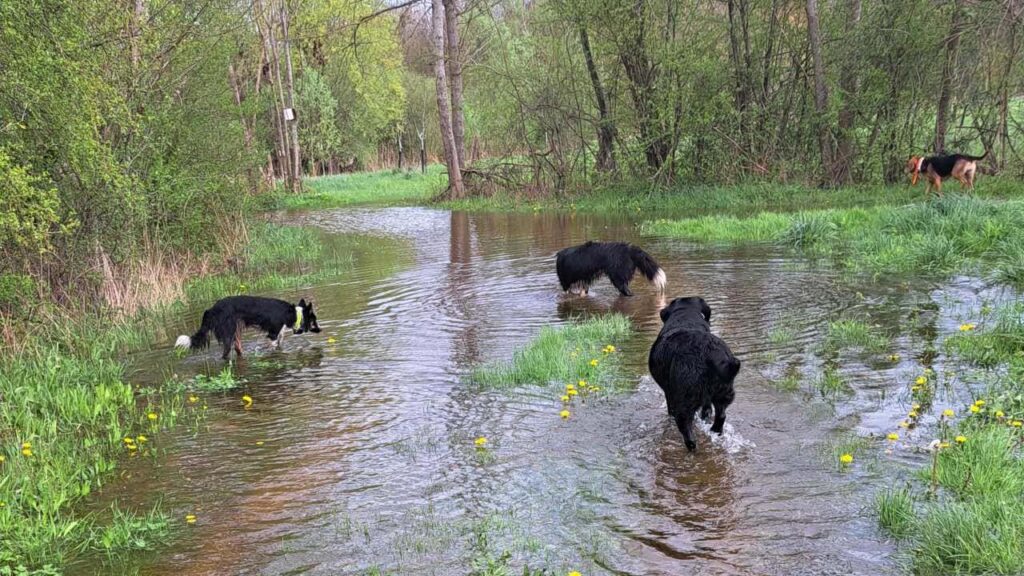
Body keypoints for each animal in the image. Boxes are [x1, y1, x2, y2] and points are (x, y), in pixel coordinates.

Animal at [176, 295, 319, 358]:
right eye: (314, 321)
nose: (320, 330)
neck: (293, 314)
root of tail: (212, 309)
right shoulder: (272, 334)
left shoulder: (279, 335)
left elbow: (280, 346)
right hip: (228, 333)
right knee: (225, 354)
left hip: (236, 330)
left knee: (238, 349)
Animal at [651, 297, 741, 450]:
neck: (686, 319)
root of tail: (709, 353)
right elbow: (707, 409)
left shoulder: (670, 393)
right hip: (724, 391)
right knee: (721, 415)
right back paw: (715, 430)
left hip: (685, 398)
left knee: (685, 425)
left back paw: (691, 445)